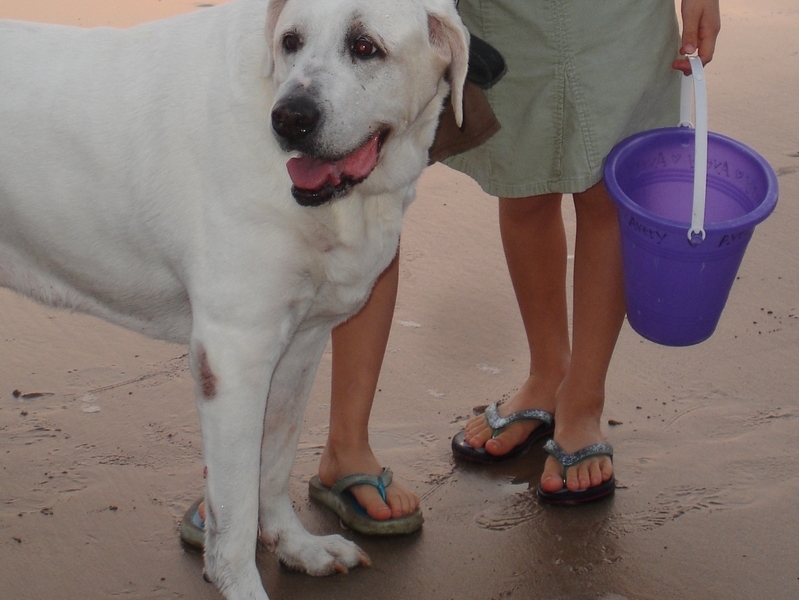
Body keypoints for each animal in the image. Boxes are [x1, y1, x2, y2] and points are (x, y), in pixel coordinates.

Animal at [0, 1, 468, 596]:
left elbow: (275, 463)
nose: (289, 118)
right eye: (290, 41)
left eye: (366, 47)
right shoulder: (233, 354)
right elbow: (237, 506)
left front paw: (297, 546)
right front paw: (241, 582)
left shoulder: (300, 346)